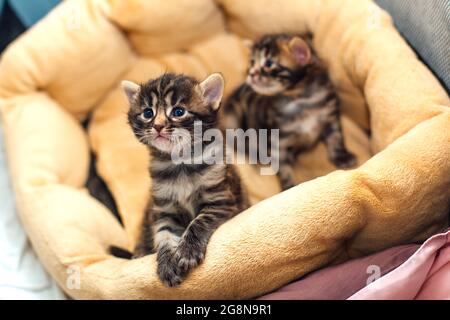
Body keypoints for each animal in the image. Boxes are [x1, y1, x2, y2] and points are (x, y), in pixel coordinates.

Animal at [116, 73, 248, 288]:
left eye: (178, 111)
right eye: (148, 113)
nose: (158, 125)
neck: (180, 164)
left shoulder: (221, 200)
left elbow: (199, 222)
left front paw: (187, 251)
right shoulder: (164, 210)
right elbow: (164, 234)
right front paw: (167, 263)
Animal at [223, 34, 356, 190]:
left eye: (269, 63)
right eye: (252, 62)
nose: (250, 73)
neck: (300, 100)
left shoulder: (330, 117)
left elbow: (336, 138)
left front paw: (342, 156)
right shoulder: (276, 141)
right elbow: (282, 167)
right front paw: (289, 186)